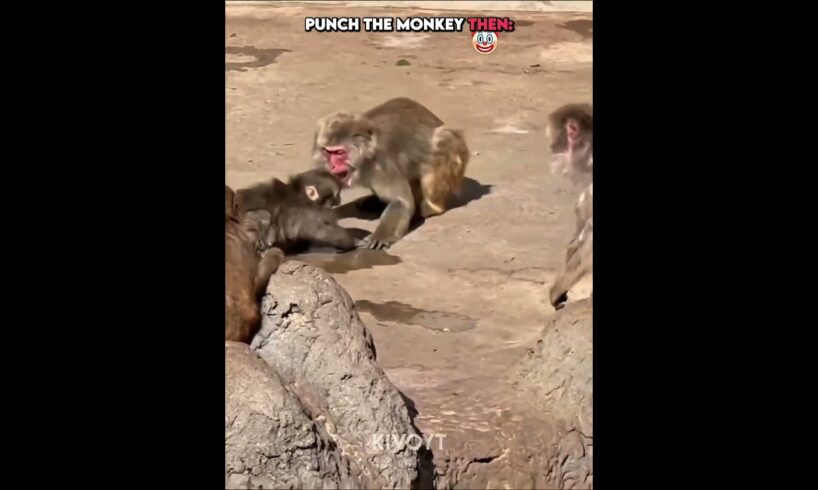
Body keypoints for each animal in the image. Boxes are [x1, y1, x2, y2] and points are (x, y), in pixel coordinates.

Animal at [233, 169, 362, 254]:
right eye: (336, 195)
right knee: (263, 215)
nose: (340, 200)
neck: (299, 194)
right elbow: (321, 231)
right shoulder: (309, 210)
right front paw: (352, 241)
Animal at [312, 97, 470, 249]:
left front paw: (380, 236)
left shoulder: (382, 165)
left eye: (339, 153)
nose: (332, 165)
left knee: (443, 142)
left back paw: (429, 208)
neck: (364, 161)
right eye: (328, 152)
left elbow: (400, 201)